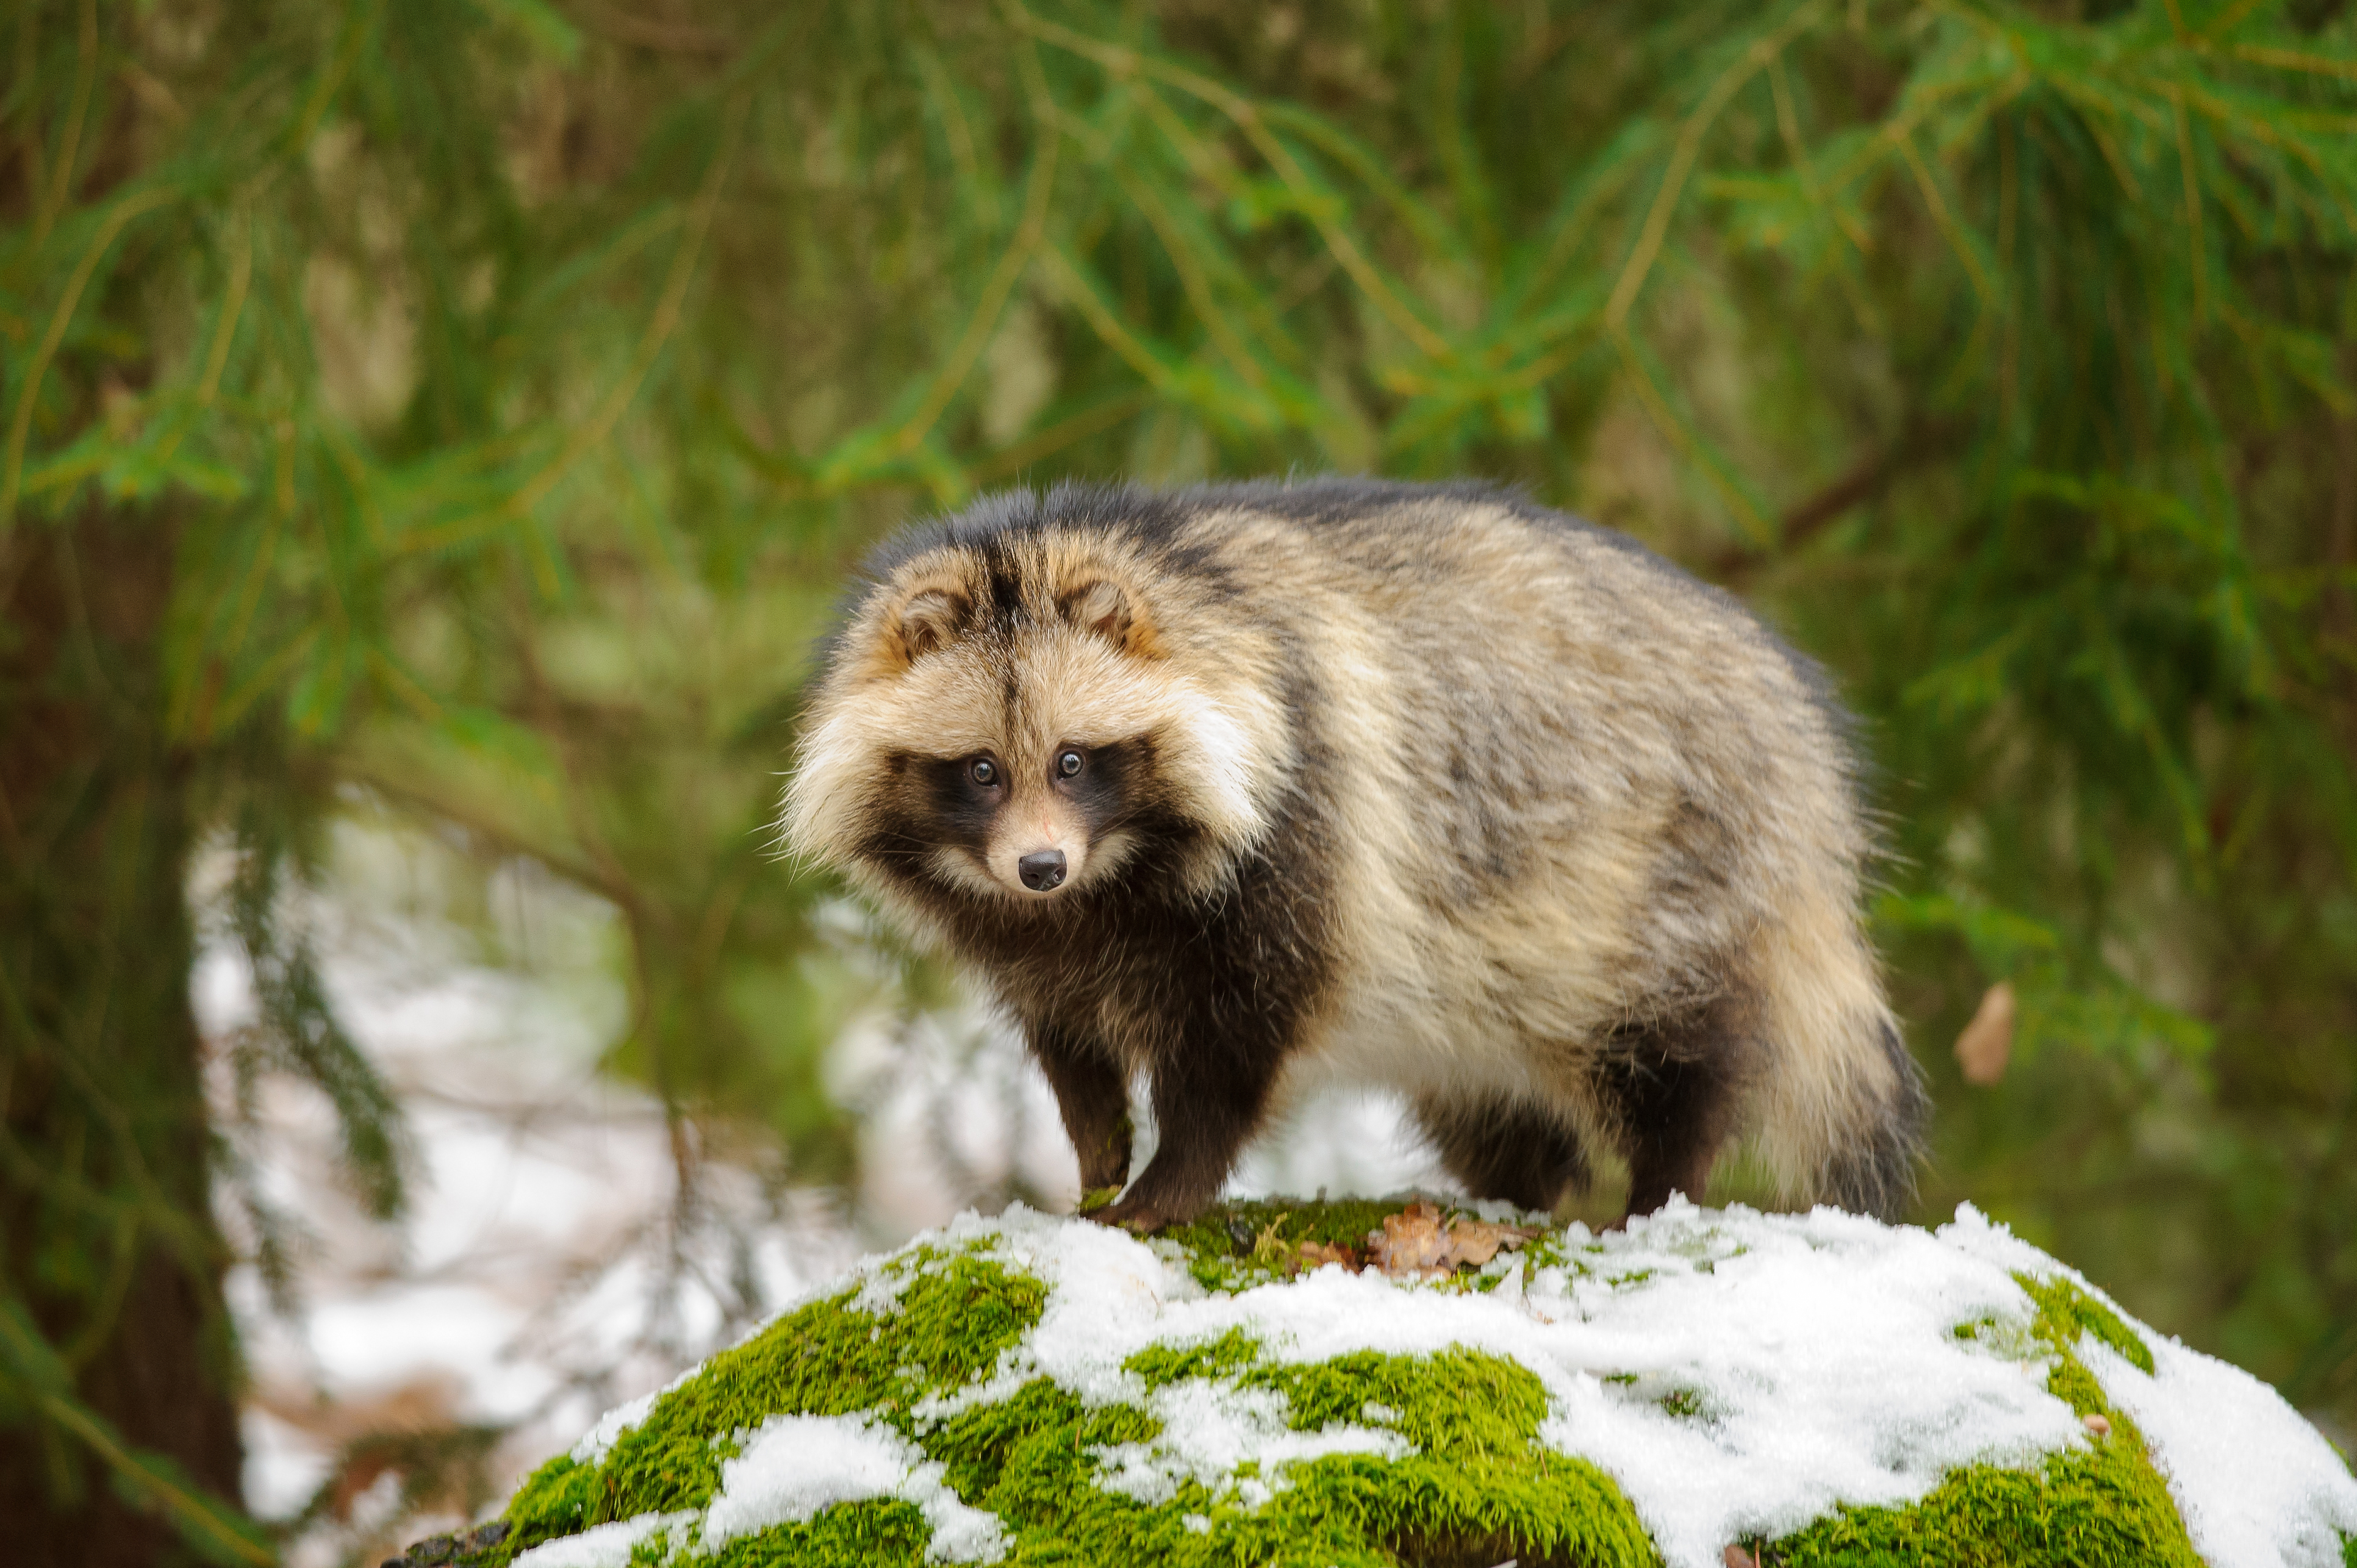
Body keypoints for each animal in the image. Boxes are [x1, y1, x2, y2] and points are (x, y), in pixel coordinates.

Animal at [782, 476, 1923, 1235]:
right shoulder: (1030, 937)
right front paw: (1098, 1150)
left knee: (1677, 1054)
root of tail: (1805, 747)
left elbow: (1238, 1040)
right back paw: (1513, 1190)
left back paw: (1658, 1187)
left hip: (1666, 877)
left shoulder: (1305, 822)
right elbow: (1068, 1041)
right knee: (1498, 1106)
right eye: (980, 770)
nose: (1038, 869)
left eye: (1072, 760)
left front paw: (1167, 1181)